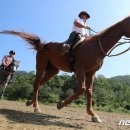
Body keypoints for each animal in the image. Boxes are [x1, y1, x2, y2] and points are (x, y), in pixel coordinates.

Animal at [0, 15, 130, 122]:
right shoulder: (80, 70)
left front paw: (92, 114)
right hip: (41, 67)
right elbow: (81, 89)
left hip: (52, 70)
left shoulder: (91, 73)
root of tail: (42, 46)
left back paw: (30, 102)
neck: (95, 47)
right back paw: (36, 107)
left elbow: (89, 92)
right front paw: (60, 104)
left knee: (39, 84)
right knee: (36, 84)